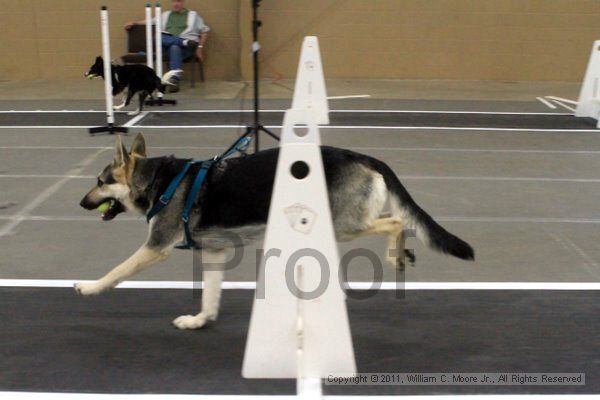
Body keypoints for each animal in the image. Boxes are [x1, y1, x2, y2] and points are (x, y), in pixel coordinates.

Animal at [77, 136, 476, 330]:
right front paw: (201, 320)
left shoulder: (154, 247)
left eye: (100, 181)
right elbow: (209, 297)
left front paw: (91, 287)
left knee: (394, 222)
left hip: (344, 226)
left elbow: (116, 271)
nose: (81, 202)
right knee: (396, 220)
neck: (159, 181)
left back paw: (396, 255)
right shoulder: (214, 254)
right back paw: (403, 253)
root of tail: (360, 155)